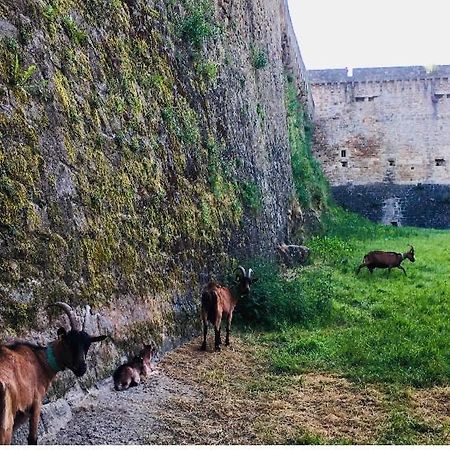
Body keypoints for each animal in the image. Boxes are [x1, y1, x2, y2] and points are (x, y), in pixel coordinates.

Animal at [0, 300, 106, 444]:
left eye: (87, 345)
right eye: (69, 342)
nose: (82, 368)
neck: (41, 360)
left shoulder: (21, 414)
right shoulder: (35, 403)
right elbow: (32, 439)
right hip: (6, 422)